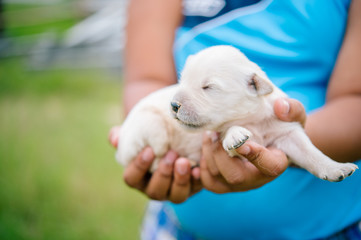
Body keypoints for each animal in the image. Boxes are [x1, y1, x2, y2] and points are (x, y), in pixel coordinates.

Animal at [116, 45, 354, 181]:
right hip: (149, 128)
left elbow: (310, 152)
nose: (174, 105)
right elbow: (230, 134)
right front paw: (236, 134)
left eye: (208, 87)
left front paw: (336, 168)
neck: (253, 119)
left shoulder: (287, 131)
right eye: (182, 81)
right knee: (153, 159)